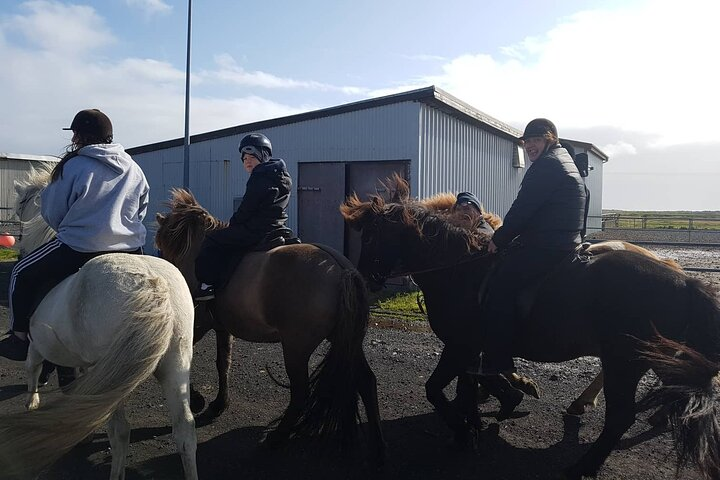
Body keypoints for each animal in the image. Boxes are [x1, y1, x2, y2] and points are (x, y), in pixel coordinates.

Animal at [0, 165, 197, 480]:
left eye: (21, 205)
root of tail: (154, 285)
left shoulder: (35, 343)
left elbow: (33, 368)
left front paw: (32, 403)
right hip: (175, 365)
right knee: (185, 431)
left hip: (114, 374)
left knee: (120, 432)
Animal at [155, 188, 386, 462]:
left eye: (163, 249)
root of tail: (342, 271)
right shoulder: (222, 327)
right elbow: (223, 364)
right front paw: (219, 404)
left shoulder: (198, 326)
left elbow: (185, 361)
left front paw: (198, 400)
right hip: (346, 341)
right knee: (366, 382)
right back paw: (377, 447)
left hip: (296, 348)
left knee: (300, 393)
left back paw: (277, 437)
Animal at [342, 178, 720, 480]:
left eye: (372, 236)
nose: (363, 278)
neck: (459, 269)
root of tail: (685, 280)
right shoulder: (469, 349)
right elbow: (468, 385)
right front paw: (476, 421)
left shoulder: (461, 345)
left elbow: (436, 389)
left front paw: (465, 428)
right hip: (657, 358)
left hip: (624, 362)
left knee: (621, 415)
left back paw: (583, 463)